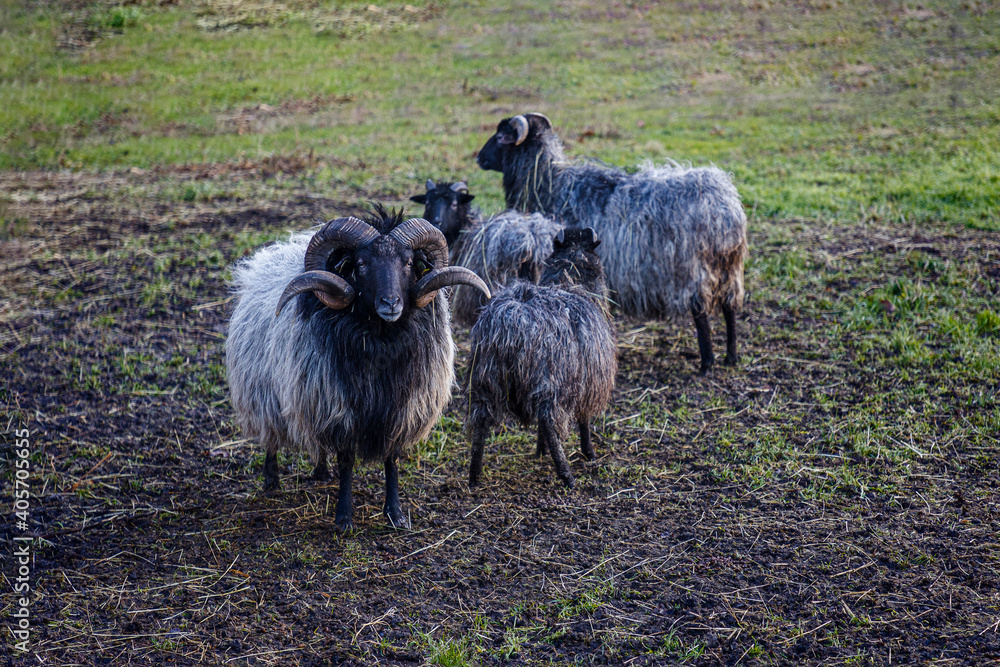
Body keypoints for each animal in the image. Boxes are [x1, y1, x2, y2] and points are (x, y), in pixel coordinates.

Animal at [225, 205, 490, 530]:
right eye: (361, 264)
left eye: (408, 263)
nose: (391, 303)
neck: (380, 340)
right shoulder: (340, 407)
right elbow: (347, 460)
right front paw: (344, 517)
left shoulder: (400, 408)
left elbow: (392, 459)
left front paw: (395, 514)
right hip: (266, 391)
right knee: (271, 436)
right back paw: (271, 481)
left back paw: (320, 471)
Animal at [467, 227, 618, 489]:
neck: (571, 278)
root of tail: (512, 321)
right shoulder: (588, 379)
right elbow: (584, 419)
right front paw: (589, 452)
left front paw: (540, 451)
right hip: (550, 379)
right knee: (548, 420)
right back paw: (566, 474)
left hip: (486, 375)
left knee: (482, 421)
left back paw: (474, 475)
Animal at [476, 112, 748, 375]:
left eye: (500, 137)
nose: (478, 158)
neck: (549, 183)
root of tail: (726, 209)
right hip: (729, 269)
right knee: (730, 308)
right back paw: (731, 357)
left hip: (693, 272)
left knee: (702, 316)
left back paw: (707, 363)